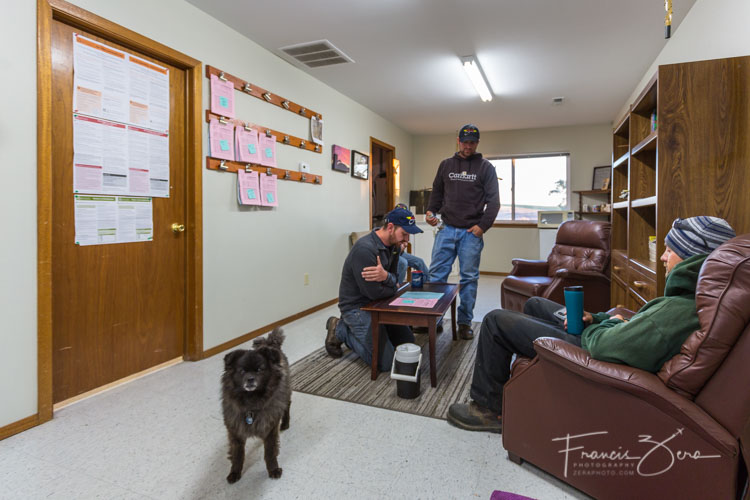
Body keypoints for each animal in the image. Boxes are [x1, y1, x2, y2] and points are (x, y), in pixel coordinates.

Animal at [220, 326, 290, 482]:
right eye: (242, 371)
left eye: (259, 370)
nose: (250, 379)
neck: (251, 401)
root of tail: (270, 344)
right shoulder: (235, 430)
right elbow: (237, 455)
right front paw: (235, 472)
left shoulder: (270, 428)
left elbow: (270, 452)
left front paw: (273, 469)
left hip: (286, 394)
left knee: (287, 407)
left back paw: (285, 424)